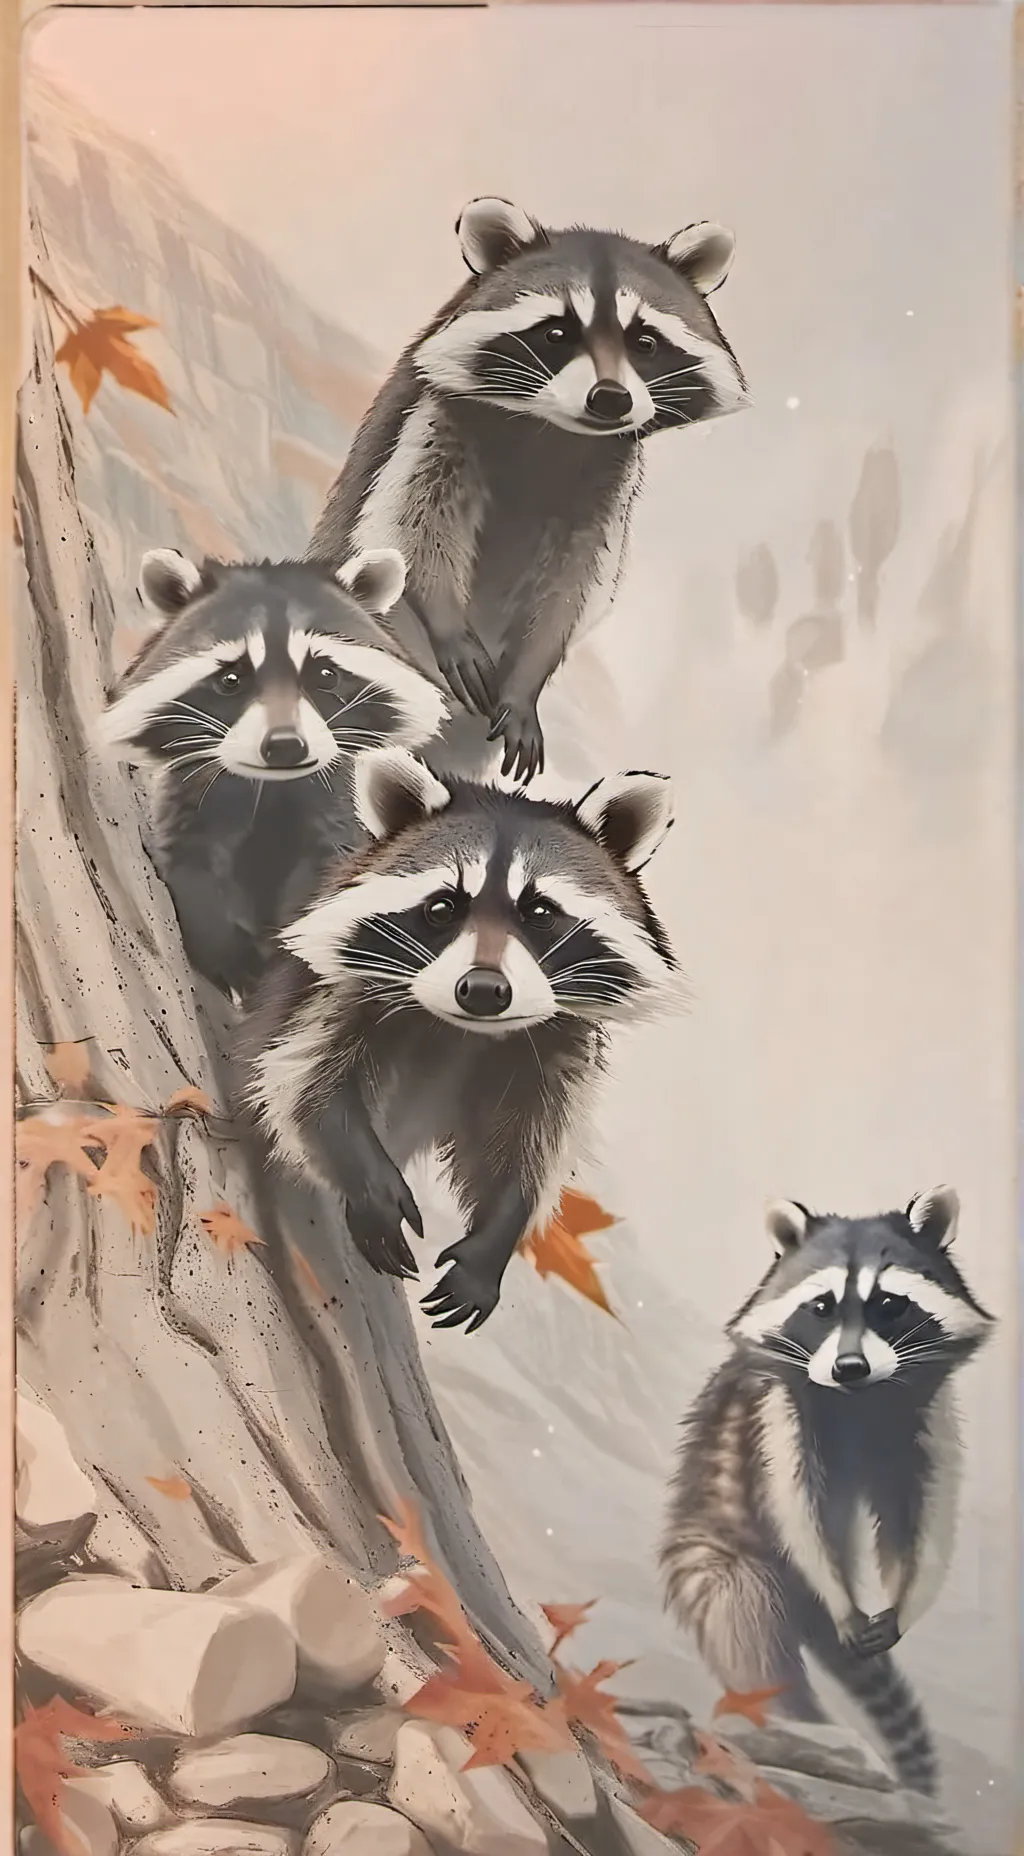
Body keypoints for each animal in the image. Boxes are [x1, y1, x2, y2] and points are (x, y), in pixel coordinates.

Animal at [98, 548, 448, 998]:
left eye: (325, 675)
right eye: (231, 678)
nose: (285, 745)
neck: (272, 785)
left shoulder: (337, 799)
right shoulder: (193, 791)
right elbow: (192, 866)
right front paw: (228, 955)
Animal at [246, 746, 681, 1329]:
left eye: (539, 912)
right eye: (442, 907)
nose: (483, 990)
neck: (463, 1033)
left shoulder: (553, 1050)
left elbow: (527, 1145)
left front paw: (494, 1239)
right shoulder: (334, 987)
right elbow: (303, 1086)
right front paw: (370, 1182)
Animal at [308, 197, 747, 783]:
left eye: (645, 342)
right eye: (557, 334)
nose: (611, 398)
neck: (553, 430)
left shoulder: (608, 483)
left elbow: (575, 585)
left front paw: (529, 676)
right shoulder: (434, 420)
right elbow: (406, 527)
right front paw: (447, 620)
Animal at [660, 1189, 993, 1796]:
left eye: (889, 1303)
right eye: (821, 1307)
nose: (849, 1366)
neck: (859, 1399)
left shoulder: (925, 1422)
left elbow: (923, 1519)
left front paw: (905, 1602)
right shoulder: (777, 1413)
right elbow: (799, 1511)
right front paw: (842, 1598)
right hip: (718, 1559)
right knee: (749, 1635)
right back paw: (797, 1726)